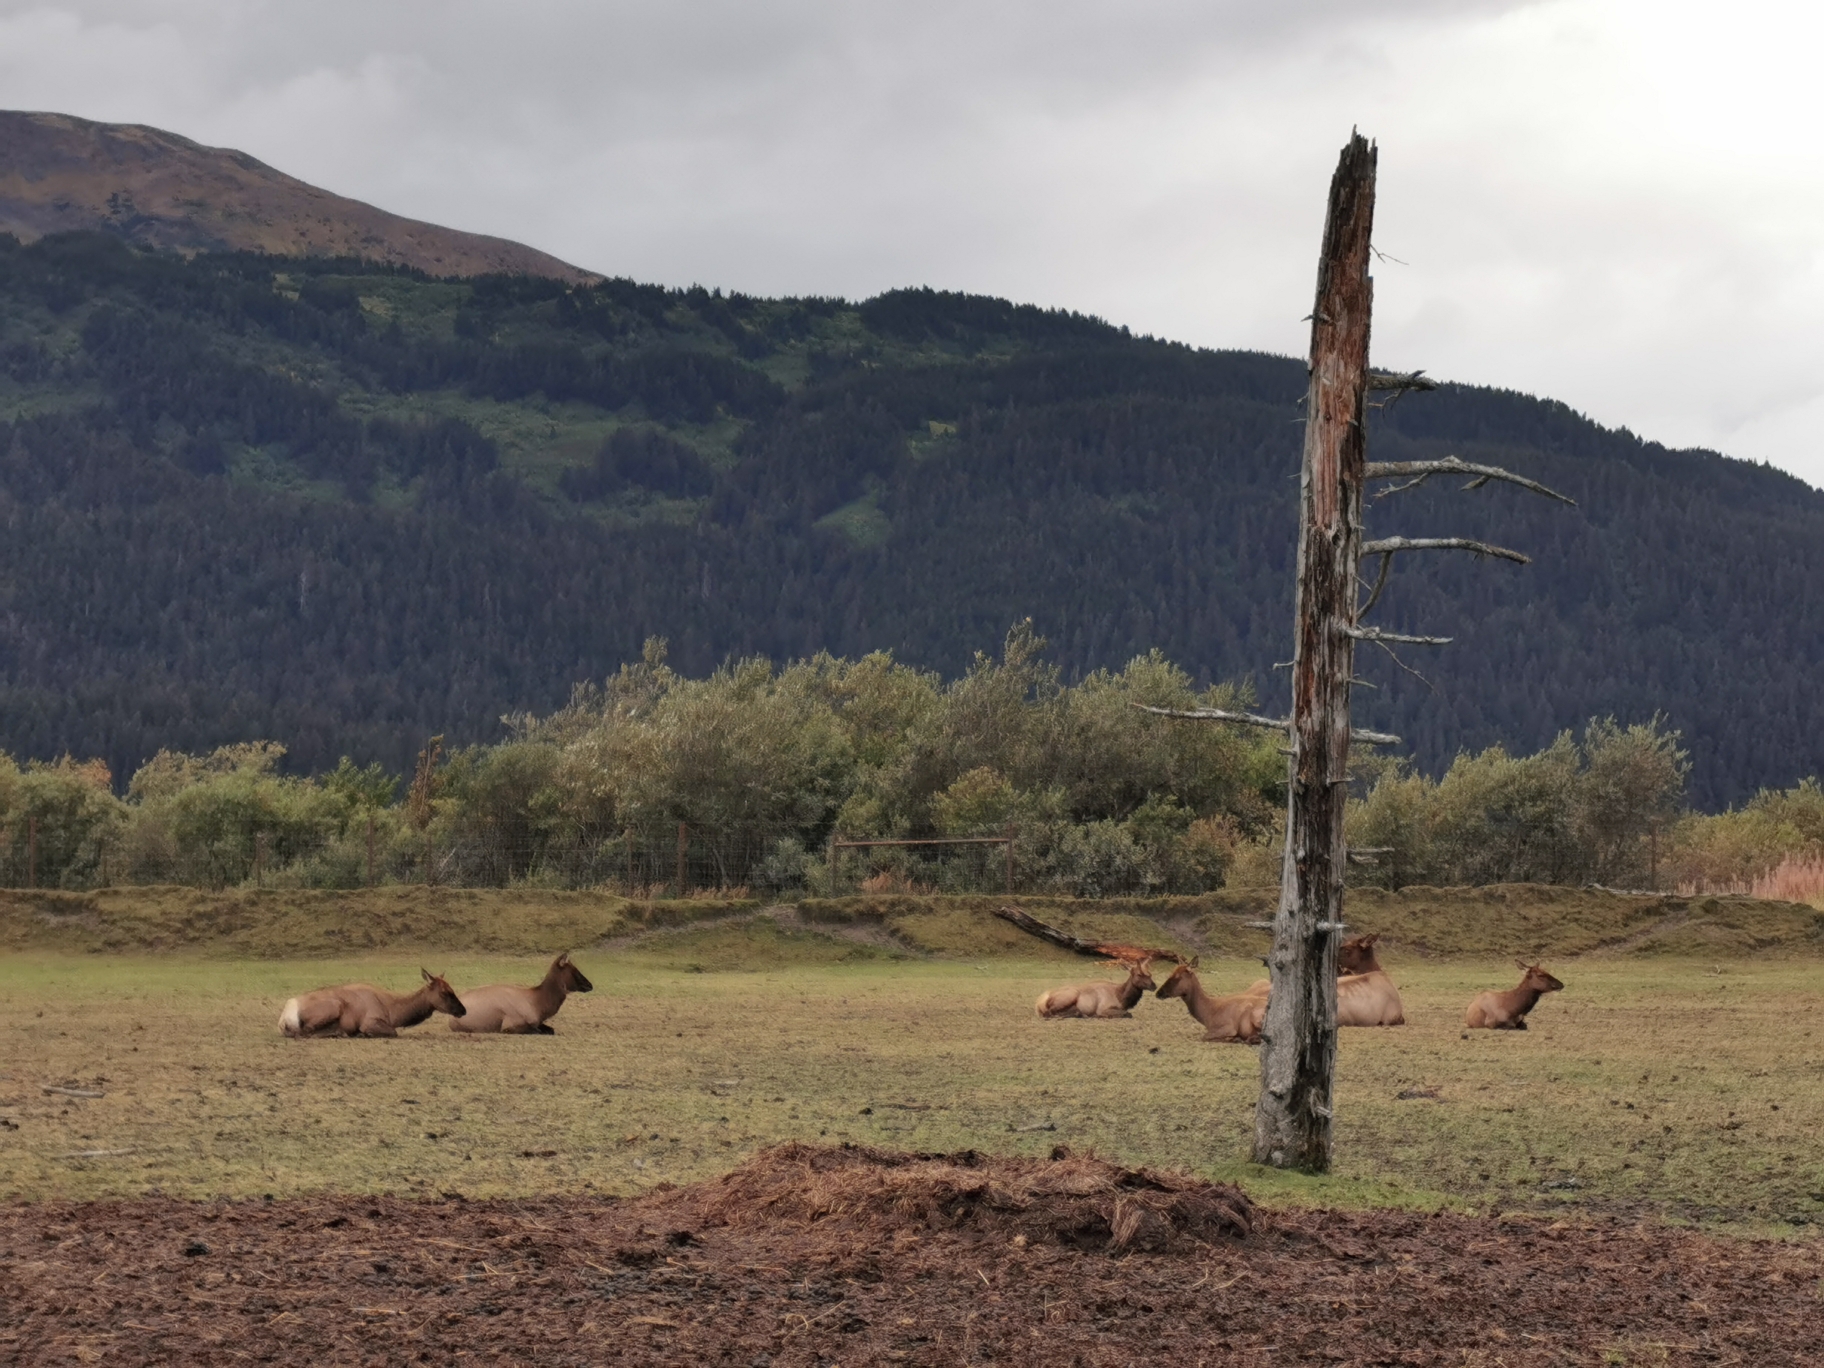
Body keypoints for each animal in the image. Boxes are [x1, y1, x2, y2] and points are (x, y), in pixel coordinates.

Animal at [277, 970, 466, 1043]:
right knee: (305, 1032)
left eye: (451, 989)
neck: (393, 1011)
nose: (463, 1010)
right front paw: (362, 1034)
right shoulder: (369, 1022)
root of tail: (284, 1018)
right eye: (445, 992)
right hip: (334, 1006)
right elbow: (393, 1032)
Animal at [452, 955, 594, 1036]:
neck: (537, 1001)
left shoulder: (537, 1023)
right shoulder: (509, 1027)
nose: (590, 985)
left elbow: (550, 1030)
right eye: (573, 970)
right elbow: (540, 1032)